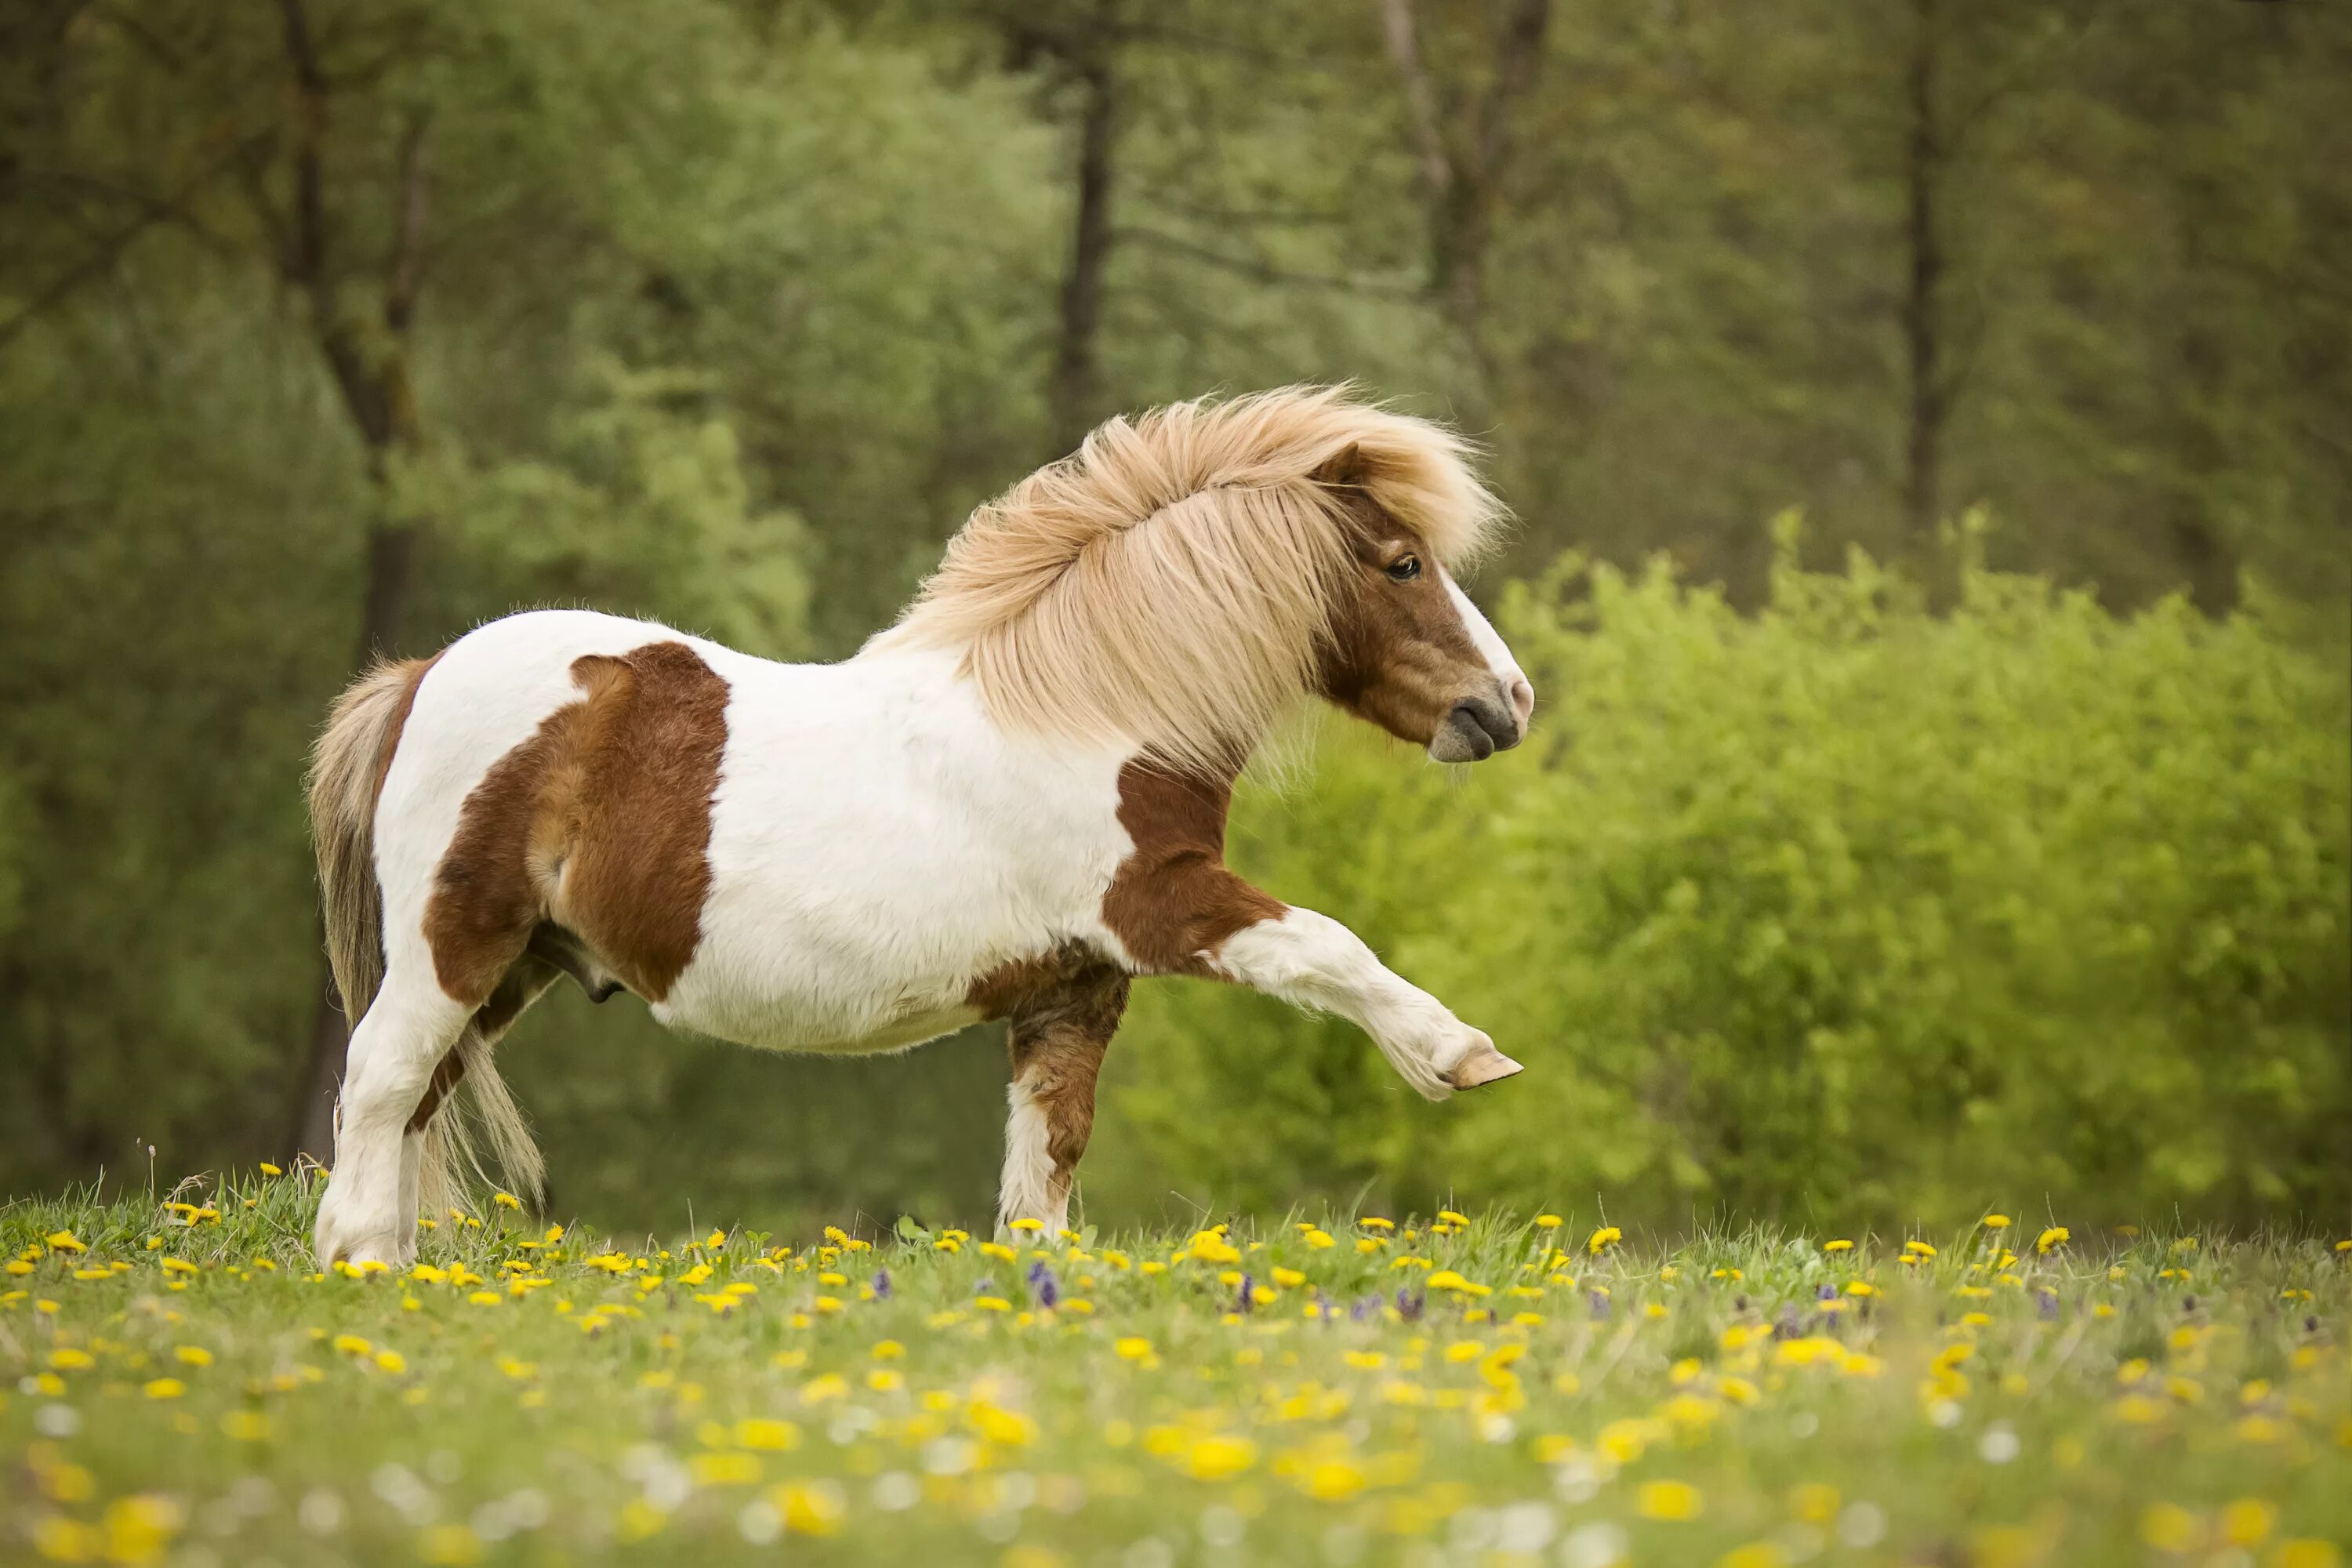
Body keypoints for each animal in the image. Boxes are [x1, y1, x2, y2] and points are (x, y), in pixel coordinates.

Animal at [303, 385, 1534, 1269]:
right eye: (1404, 564)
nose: (1508, 703)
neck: (1095, 713)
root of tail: (420, 677)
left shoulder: (1075, 988)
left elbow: (1047, 1156)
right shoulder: (1163, 908)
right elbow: (1330, 944)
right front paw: (1463, 1057)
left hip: (517, 964)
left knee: (413, 1101)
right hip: (454, 944)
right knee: (380, 1081)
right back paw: (359, 1262)